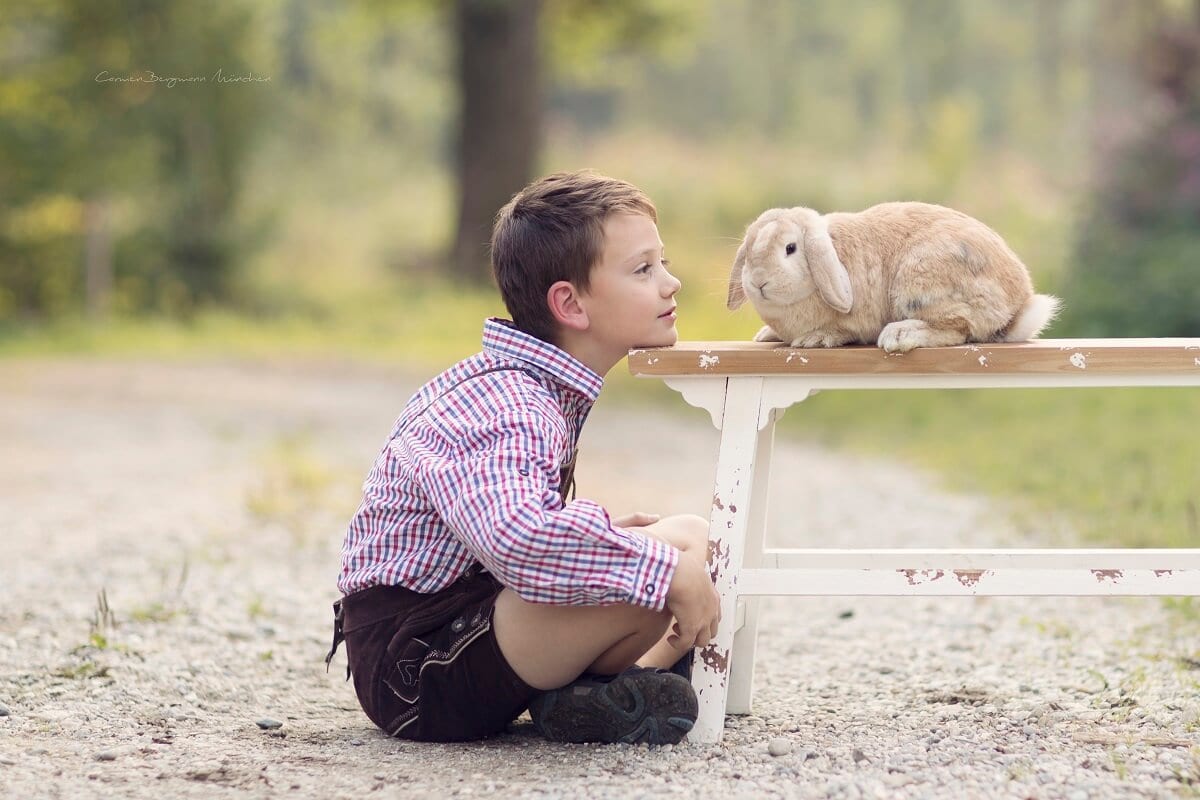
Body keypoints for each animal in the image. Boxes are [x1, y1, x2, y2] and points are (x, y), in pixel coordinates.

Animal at [726, 202, 1061, 353]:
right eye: (749, 248)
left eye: (790, 248)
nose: (758, 281)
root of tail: (1018, 304)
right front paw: (767, 335)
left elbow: (843, 330)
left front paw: (816, 339)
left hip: (920, 282)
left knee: (957, 330)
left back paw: (899, 336)